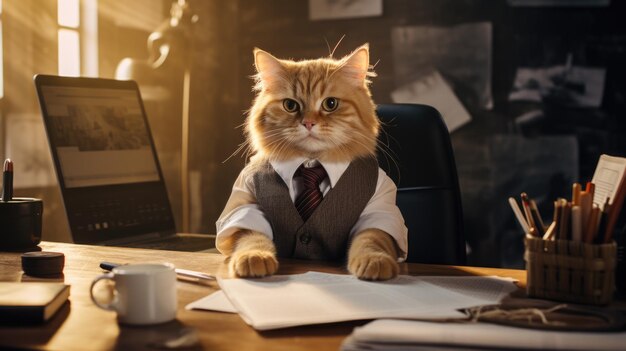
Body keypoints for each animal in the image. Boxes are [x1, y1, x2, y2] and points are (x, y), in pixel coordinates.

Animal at [214, 43, 408, 280]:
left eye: (330, 104)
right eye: (290, 105)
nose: (308, 123)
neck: (311, 163)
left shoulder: (380, 208)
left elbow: (371, 238)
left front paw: (374, 261)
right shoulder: (247, 203)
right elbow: (252, 236)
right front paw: (254, 257)